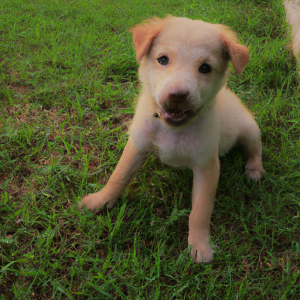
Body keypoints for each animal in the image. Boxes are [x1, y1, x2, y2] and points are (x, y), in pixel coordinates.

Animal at [78, 15, 264, 262]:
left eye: (205, 68)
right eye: (163, 59)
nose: (177, 95)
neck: (173, 129)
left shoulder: (207, 166)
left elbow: (200, 212)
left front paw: (199, 247)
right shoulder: (137, 144)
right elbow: (118, 176)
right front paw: (99, 201)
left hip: (249, 129)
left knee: (255, 149)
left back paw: (254, 170)